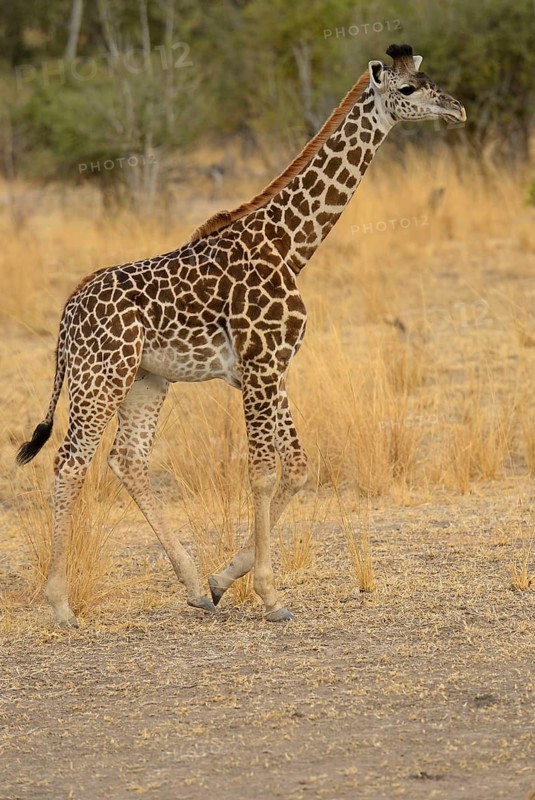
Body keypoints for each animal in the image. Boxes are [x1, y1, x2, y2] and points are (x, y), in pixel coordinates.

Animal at [17, 44, 466, 626]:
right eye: (408, 89)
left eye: (429, 78)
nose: (456, 109)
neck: (291, 245)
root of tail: (67, 317)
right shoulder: (259, 365)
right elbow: (263, 473)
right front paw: (270, 596)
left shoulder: (271, 367)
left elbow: (297, 469)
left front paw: (222, 579)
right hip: (101, 375)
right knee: (70, 462)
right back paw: (60, 604)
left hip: (146, 379)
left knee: (127, 458)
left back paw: (190, 584)